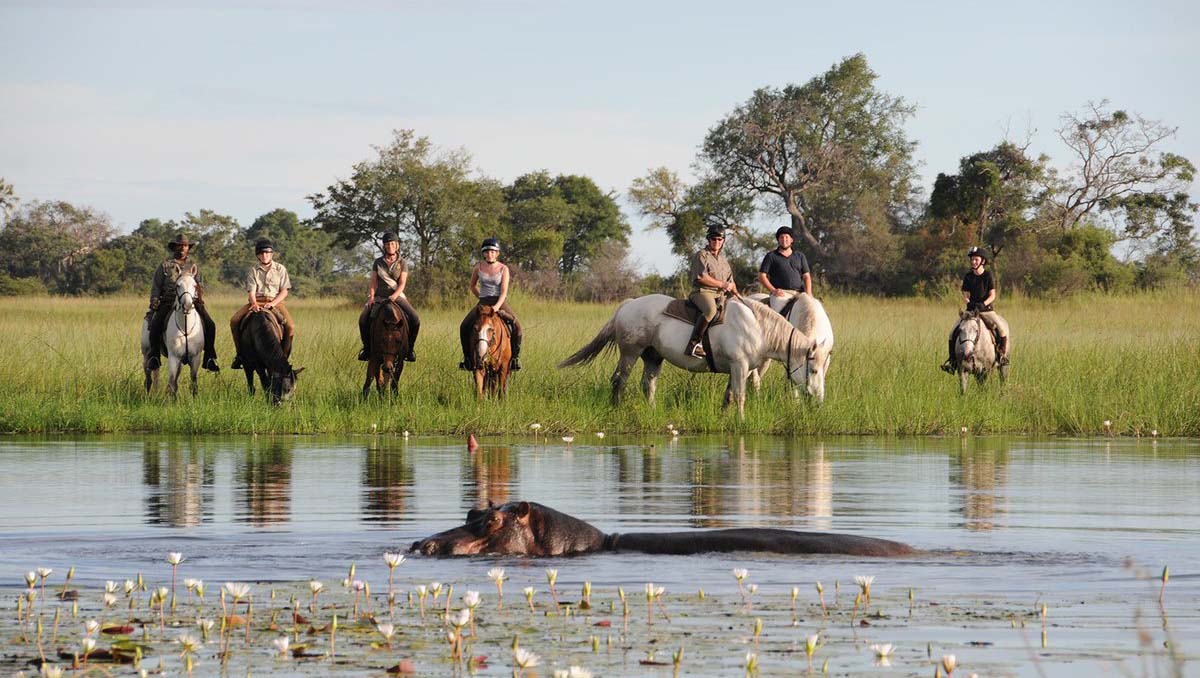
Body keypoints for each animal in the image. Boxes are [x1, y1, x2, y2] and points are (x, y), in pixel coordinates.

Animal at [558, 294, 816, 419]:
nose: (817, 400)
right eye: (813, 369)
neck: (756, 326)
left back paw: (653, 412)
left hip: (653, 357)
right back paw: (617, 408)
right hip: (630, 353)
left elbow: (729, 396)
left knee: (647, 384)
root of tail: (628, 305)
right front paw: (741, 420)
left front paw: (724, 418)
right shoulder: (740, 366)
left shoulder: (737, 369)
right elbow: (740, 396)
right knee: (619, 380)